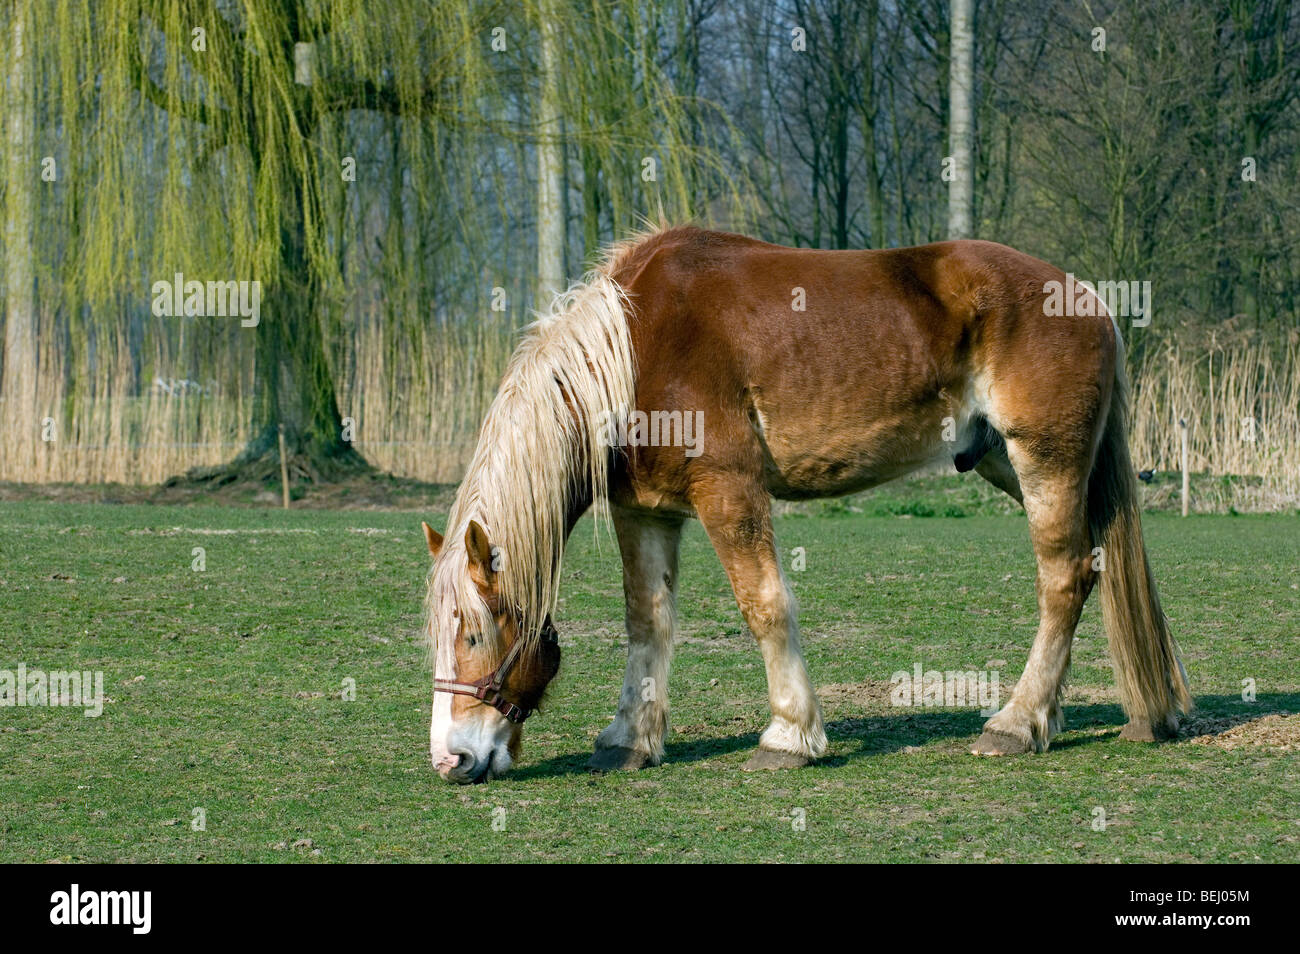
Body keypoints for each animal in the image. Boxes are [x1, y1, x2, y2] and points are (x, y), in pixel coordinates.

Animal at [423, 223, 1190, 785]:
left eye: (476, 634)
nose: (450, 759)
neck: (634, 349)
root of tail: (1091, 302)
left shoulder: (729, 489)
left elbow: (765, 606)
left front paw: (790, 734)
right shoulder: (646, 510)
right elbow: (648, 622)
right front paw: (629, 739)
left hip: (1046, 460)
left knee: (1064, 579)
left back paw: (1016, 723)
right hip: (1009, 460)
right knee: (1102, 568)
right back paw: (1139, 709)